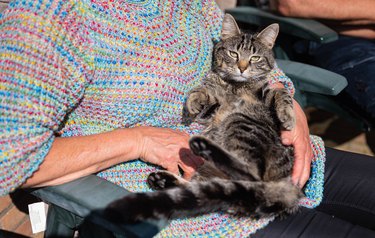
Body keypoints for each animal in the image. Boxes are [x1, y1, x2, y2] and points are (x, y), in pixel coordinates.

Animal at [104, 14, 304, 223]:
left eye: (255, 58)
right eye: (233, 54)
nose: (241, 68)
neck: (235, 87)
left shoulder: (263, 95)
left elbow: (281, 93)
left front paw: (287, 117)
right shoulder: (214, 107)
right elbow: (203, 94)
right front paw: (193, 100)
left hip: (241, 122)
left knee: (248, 179)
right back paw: (164, 179)